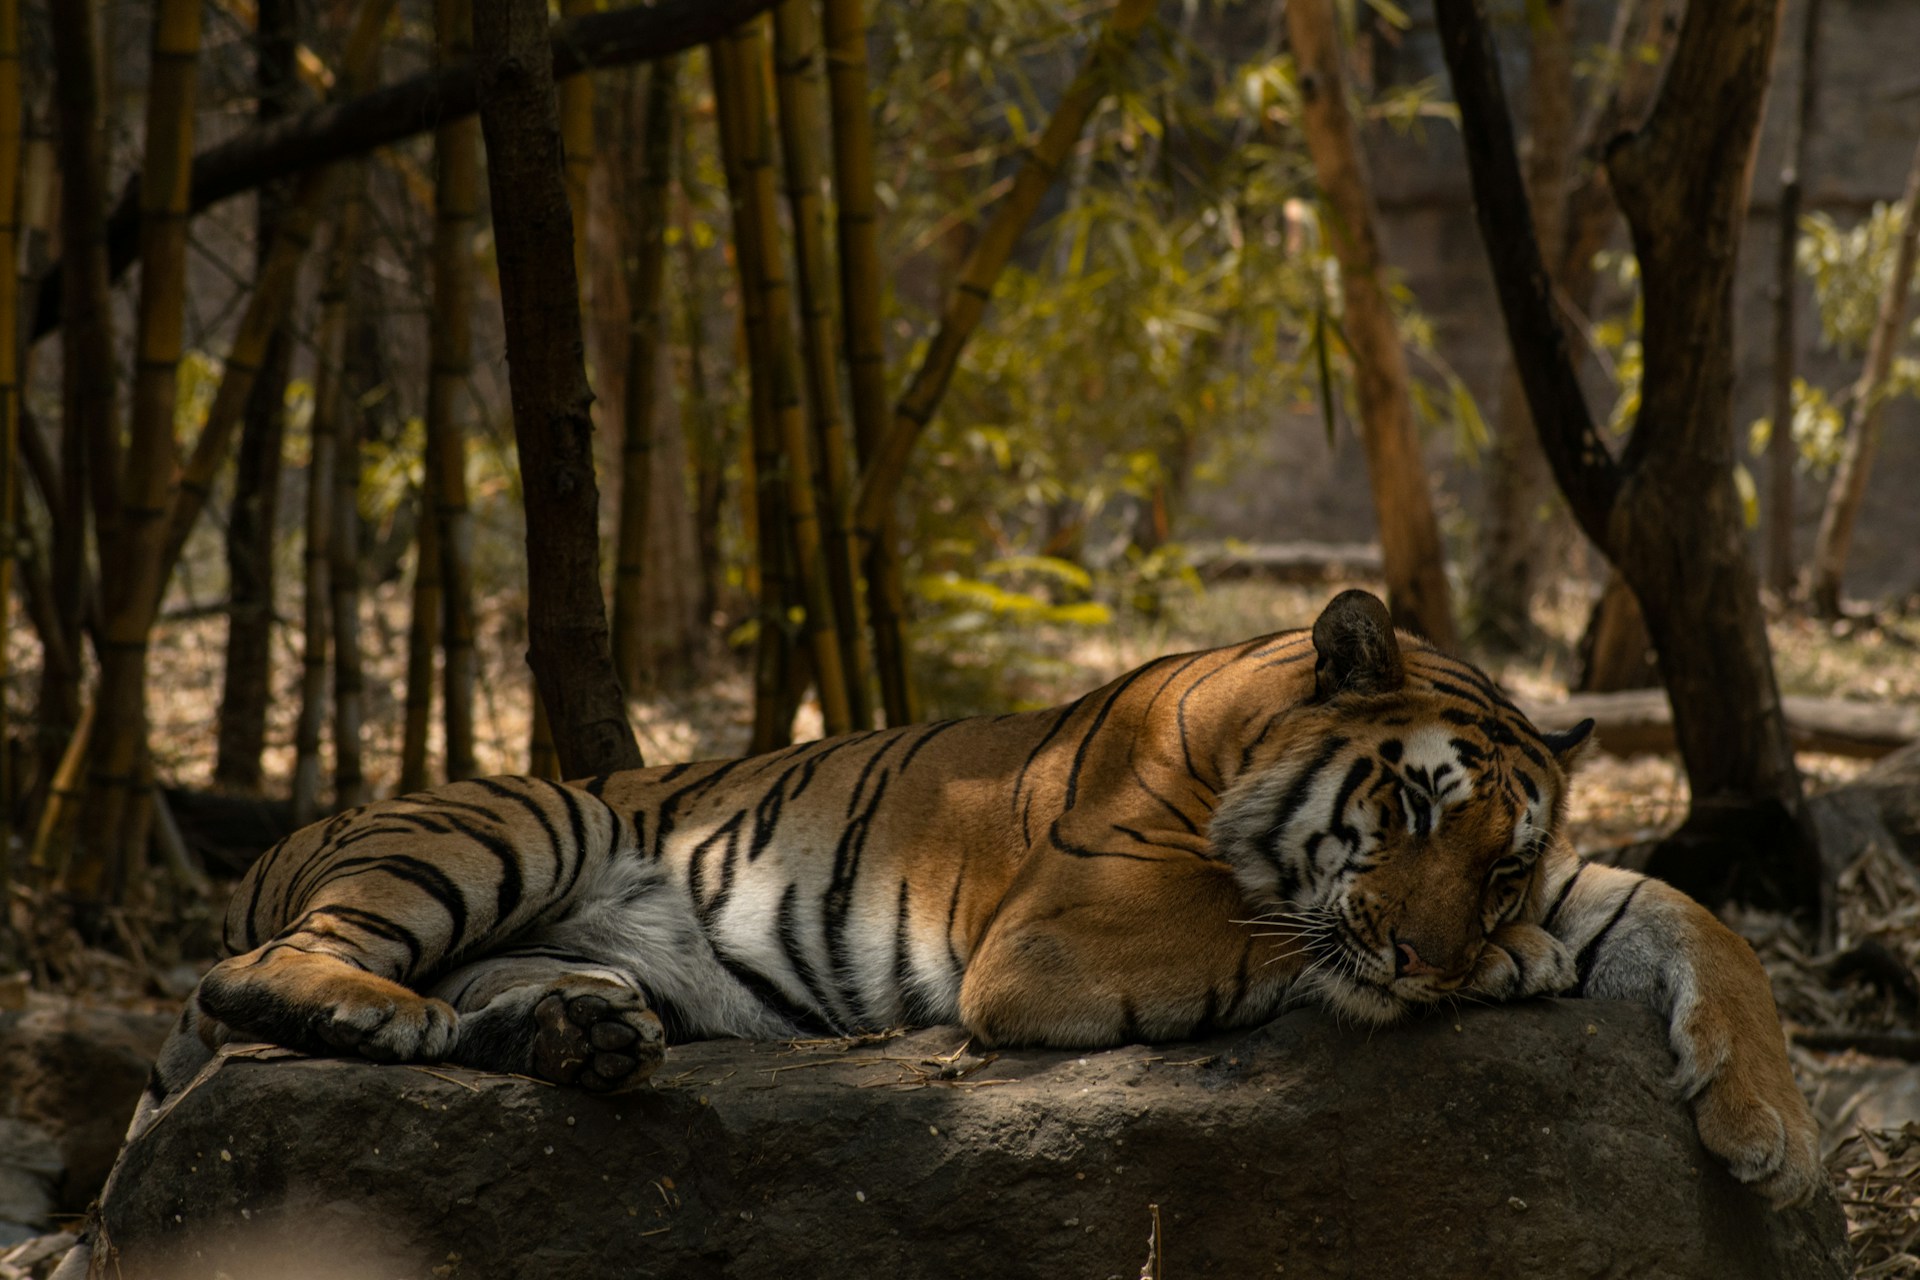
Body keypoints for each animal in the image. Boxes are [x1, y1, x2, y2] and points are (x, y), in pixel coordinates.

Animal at [132, 589, 1822, 1208]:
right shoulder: (1064, 938)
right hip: (518, 817)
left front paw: (1769, 1133)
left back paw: (577, 1035)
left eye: (1504, 854)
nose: (1435, 954)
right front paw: (1513, 971)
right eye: (1406, 809)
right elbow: (1269, 929)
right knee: (262, 976)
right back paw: (388, 1008)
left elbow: (1701, 922)